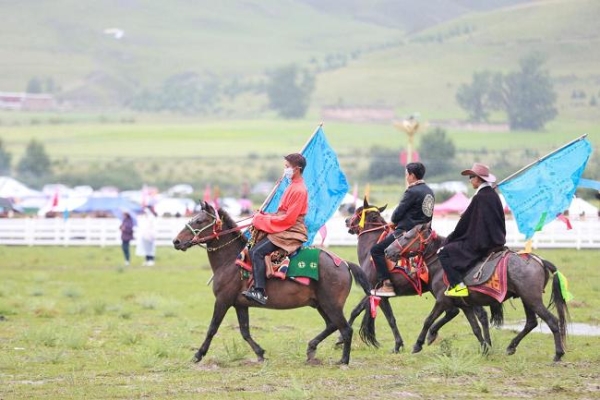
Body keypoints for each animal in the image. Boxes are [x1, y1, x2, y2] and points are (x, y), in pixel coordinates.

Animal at [171, 202, 372, 364]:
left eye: (199, 221)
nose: (176, 241)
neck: (231, 261)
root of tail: (344, 263)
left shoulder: (223, 300)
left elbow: (212, 328)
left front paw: (198, 354)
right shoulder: (240, 304)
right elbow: (245, 331)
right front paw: (260, 353)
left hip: (331, 304)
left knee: (345, 329)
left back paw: (343, 360)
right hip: (321, 304)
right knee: (332, 325)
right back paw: (311, 348)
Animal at [346, 200, 492, 354]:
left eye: (358, 212)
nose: (346, 221)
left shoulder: (380, 294)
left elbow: (391, 319)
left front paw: (398, 345)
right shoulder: (372, 291)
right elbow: (356, 310)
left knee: (465, 312)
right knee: (469, 313)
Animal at [382, 223, 568, 360]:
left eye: (406, 237)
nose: (387, 251)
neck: (441, 266)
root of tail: (539, 260)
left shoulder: (442, 301)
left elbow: (428, 320)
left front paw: (419, 343)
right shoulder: (466, 305)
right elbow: (475, 327)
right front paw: (485, 348)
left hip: (532, 299)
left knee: (552, 321)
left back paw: (558, 354)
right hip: (526, 299)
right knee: (531, 323)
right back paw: (511, 347)